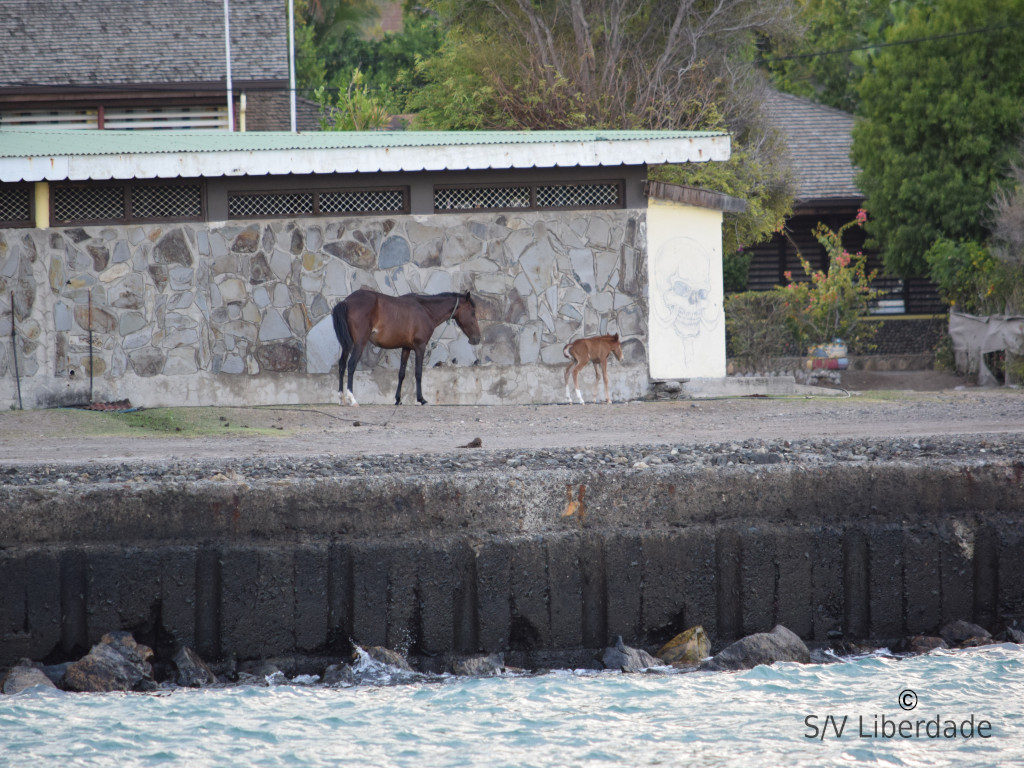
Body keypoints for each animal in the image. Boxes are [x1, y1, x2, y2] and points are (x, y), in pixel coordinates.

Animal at [331, 290, 483, 409]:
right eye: (473, 312)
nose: (477, 338)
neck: (425, 310)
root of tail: (346, 301)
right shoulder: (420, 347)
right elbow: (418, 372)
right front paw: (421, 399)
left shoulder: (406, 348)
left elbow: (402, 374)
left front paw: (398, 399)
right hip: (359, 343)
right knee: (351, 365)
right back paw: (352, 399)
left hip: (347, 345)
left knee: (342, 365)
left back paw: (341, 398)